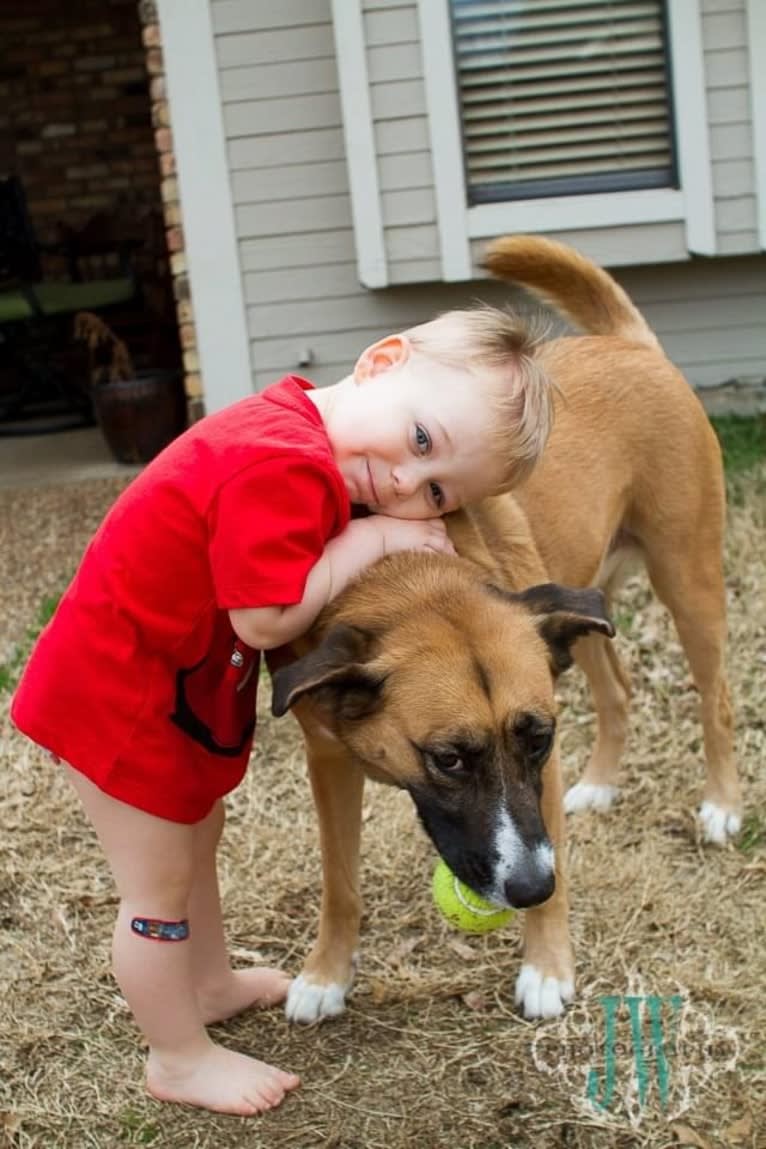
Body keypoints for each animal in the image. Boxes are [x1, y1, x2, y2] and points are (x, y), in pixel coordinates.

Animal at [266, 235, 739, 1024]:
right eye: (449, 758)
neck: (408, 574)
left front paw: (547, 965)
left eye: (537, 738)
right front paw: (326, 972)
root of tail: (629, 344)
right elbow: (341, 881)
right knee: (618, 687)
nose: (529, 887)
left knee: (717, 700)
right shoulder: (328, 761)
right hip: (582, 610)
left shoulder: (539, 770)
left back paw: (723, 804)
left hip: (688, 583)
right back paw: (601, 785)